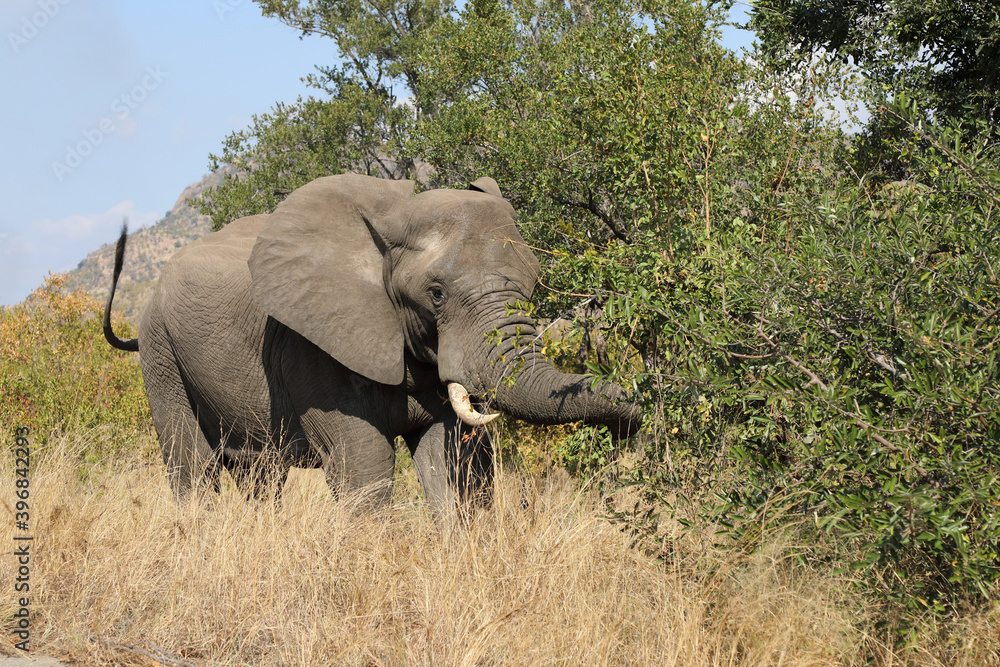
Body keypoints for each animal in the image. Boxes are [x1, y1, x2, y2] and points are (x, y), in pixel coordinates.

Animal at [103, 174, 643, 513]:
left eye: (533, 283)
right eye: (436, 294)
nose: (631, 426)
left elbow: (456, 461)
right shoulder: (312, 346)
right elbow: (364, 465)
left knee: (261, 475)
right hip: (161, 352)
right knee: (192, 468)